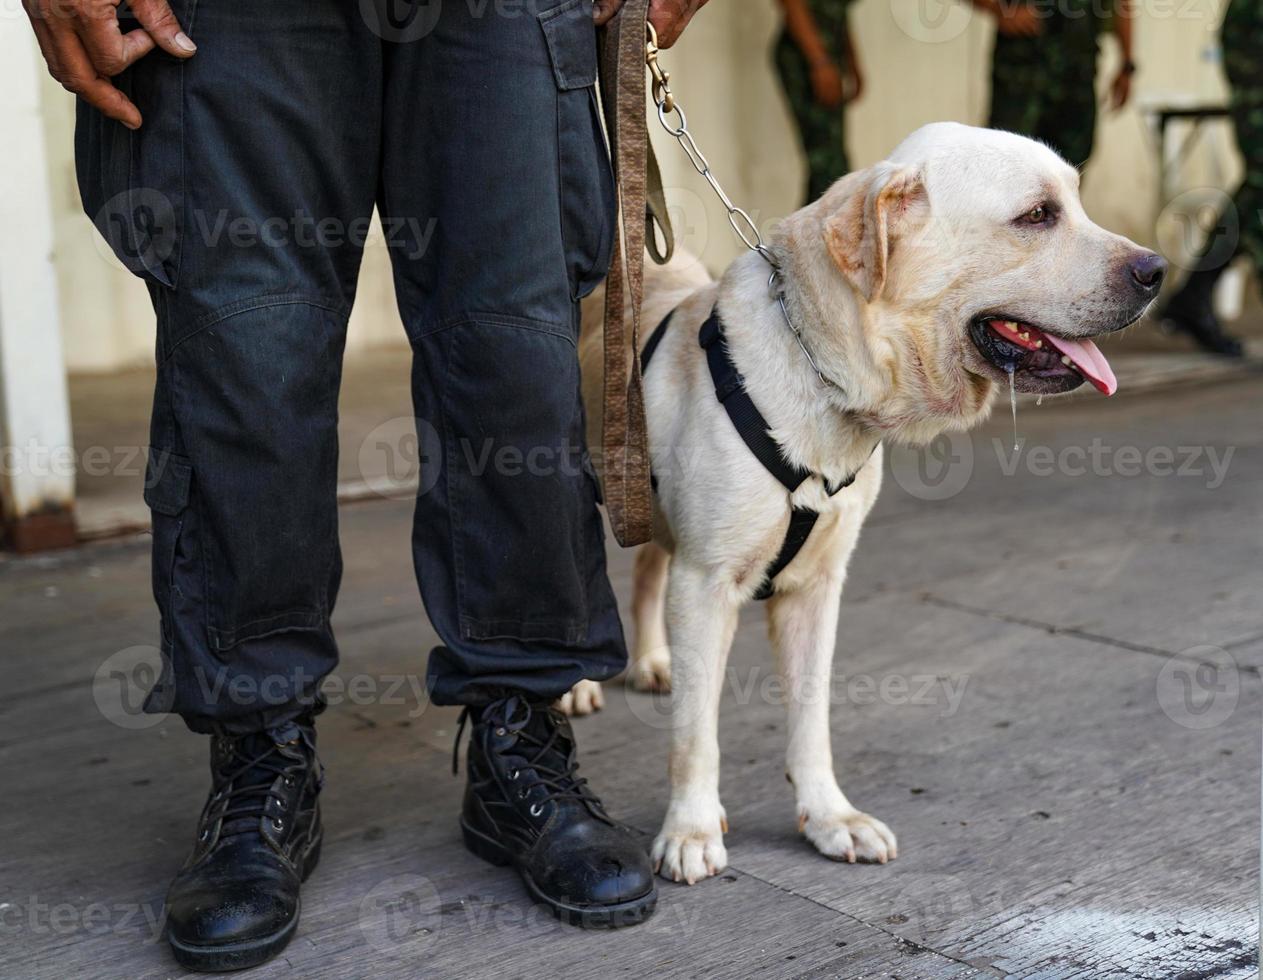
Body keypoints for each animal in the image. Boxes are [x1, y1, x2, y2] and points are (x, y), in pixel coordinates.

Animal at [563, 118, 1161, 884]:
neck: (819, 378)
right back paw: (569, 689)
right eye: (1037, 215)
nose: (1156, 271)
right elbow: (696, 733)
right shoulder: (706, 582)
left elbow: (810, 717)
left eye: (1075, 203)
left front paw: (828, 818)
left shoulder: (817, 587)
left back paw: (649, 662)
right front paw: (691, 829)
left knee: (644, 570)